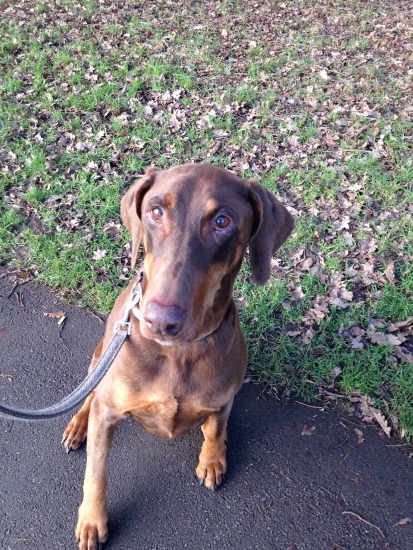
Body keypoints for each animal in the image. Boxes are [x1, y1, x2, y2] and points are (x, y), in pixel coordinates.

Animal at [62, 165, 292, 550]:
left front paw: (213, 458)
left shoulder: (223, 398)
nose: (161, 321)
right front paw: (92, 520)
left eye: (222, 221)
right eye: (156, 211)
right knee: (88, 394)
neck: (178, 353)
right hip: (100, 356)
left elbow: (215, 428)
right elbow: (97, 471)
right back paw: (78, 424)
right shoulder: (108, 412)